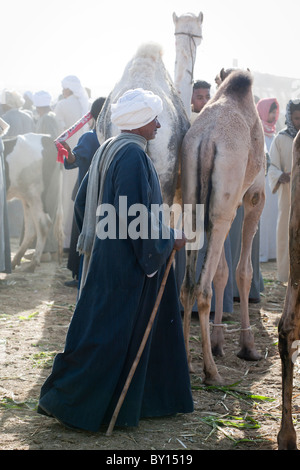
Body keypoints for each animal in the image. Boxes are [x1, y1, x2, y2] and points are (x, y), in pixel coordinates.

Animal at [179, 70, 266, 386]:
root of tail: (207, 140)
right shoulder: (254, 196)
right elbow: (242, 271)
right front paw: (247, 347)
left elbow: (222, 272)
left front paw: (218, 344)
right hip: (224, 209)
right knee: (202, 288)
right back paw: (211, 373)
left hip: (195, 206)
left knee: (188, 285)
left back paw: (188, 363)